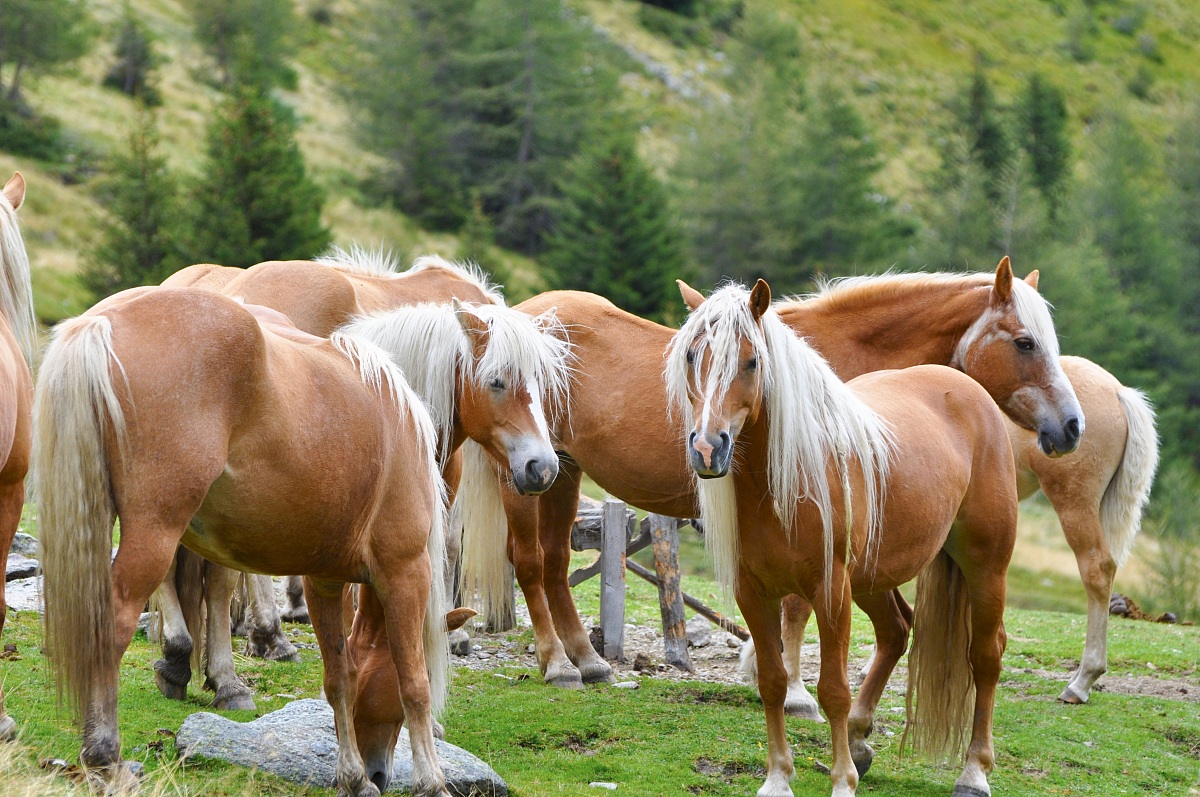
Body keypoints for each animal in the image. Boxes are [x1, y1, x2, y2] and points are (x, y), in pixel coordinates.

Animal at [35, 287, 453, 796]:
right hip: (155, 532)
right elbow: (414, 683)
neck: (397, 429)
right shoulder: (405, 572)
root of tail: (101, 321)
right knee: (112, 622)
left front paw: (351, 777)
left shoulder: (325, 582)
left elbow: (341, 678)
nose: (378, 772)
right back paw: (105, 757)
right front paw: (432, 780)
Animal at [460, 258, 1084, 693]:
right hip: (525, 475)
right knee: (530, 562)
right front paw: (793, 688)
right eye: (1025, 343)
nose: (1072, 426)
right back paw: (557, 665)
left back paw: (588, 662)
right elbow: (797, 608)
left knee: (556, 563)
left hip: (560, 473)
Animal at [668, 279, 1019, 797]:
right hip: (872, 579)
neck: (783, 485)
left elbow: (832, 689)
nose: (708, 449)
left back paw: (973, 772)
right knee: (895, 631)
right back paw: (859, 739)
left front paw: (842, 782)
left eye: (752, 361)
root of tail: (970, 391)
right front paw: (778, 778)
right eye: (692, 355)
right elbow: (772, 681)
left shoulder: (830, 592)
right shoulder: (754, 593)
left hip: (985, 567)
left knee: (986, 655)